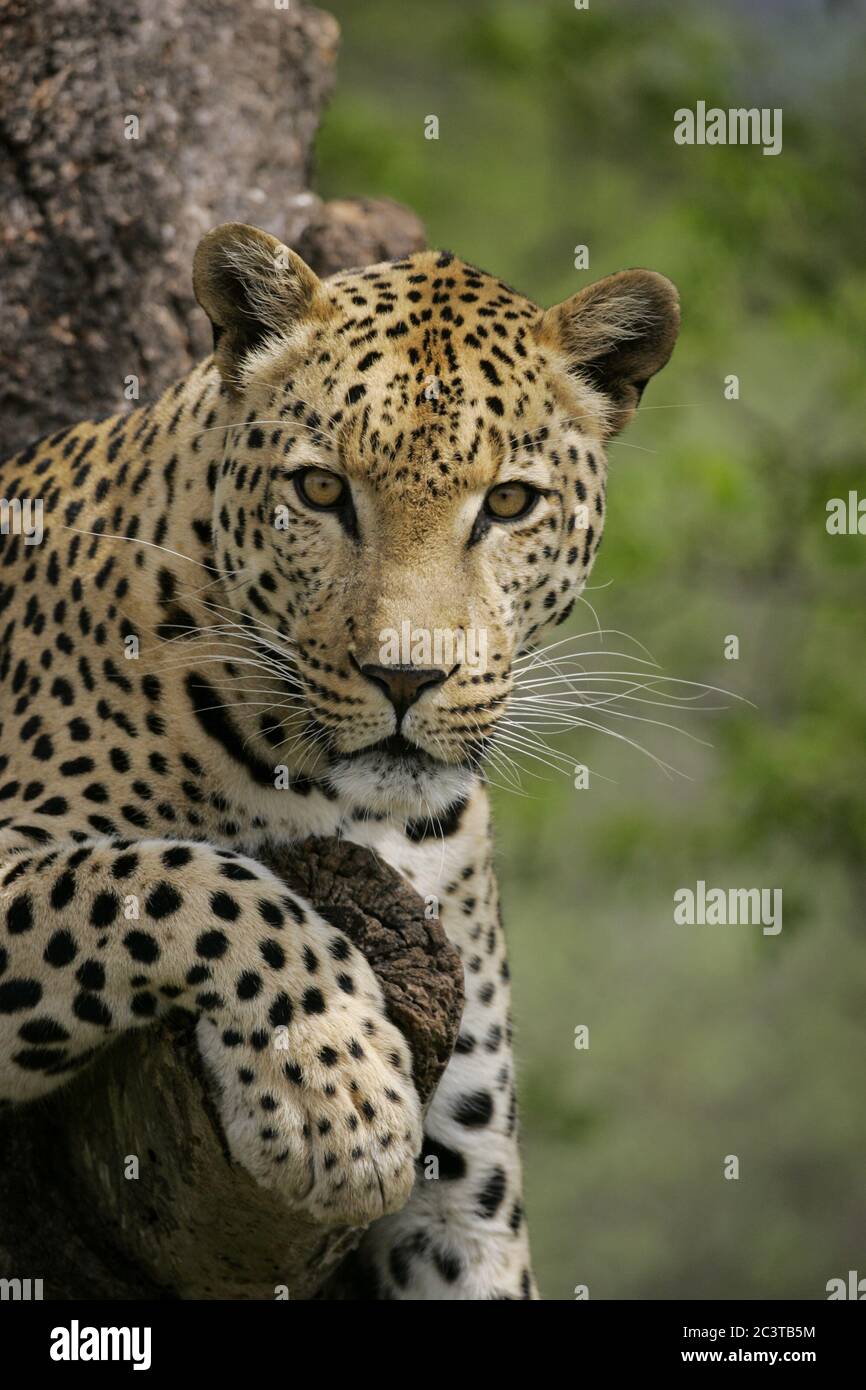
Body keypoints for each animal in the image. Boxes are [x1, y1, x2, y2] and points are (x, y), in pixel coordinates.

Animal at [0, 222, 678, 1295]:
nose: (406, 676)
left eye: (509, 503)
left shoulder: (470, 1184)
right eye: (321, 490)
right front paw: (337, 1093)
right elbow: (171, 876)